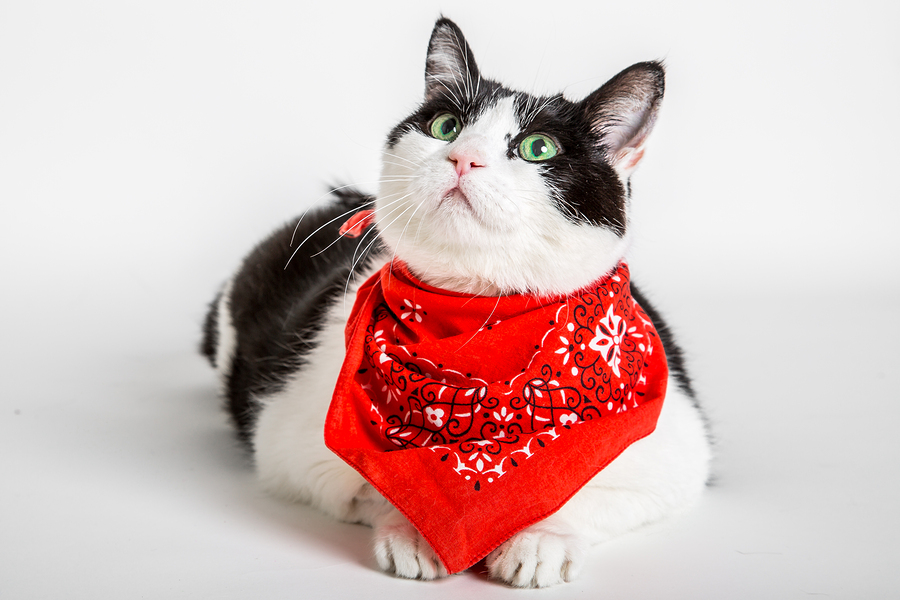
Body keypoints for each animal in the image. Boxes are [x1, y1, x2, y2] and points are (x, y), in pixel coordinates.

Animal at [202, 18, 712, 592]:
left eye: (538, 148)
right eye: (445, 127)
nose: (462, 157)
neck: (475, 319)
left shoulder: (676, 456)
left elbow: (583, 494)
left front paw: (540, 536)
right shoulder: (290, 449)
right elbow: (372, 489)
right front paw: (415, 529)